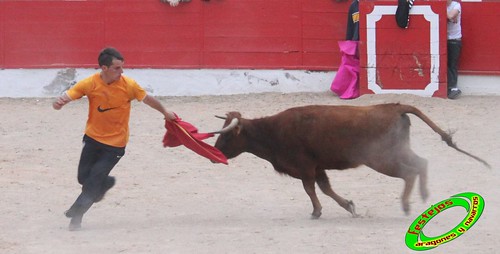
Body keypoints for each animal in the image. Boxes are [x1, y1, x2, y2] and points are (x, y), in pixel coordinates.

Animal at [213, 103, 490, 218]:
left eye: (226, 135)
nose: (216, 155)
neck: (271, 131)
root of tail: (395, 106)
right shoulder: (318, 167)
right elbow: (325, 188)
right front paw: (349, 206)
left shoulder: (305, 167)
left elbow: (311, 189)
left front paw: (316, 212)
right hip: (397, 152)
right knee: (422, 163)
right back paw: (422, 196)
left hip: (382, 158)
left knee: (410, 171)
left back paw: (406, 205)